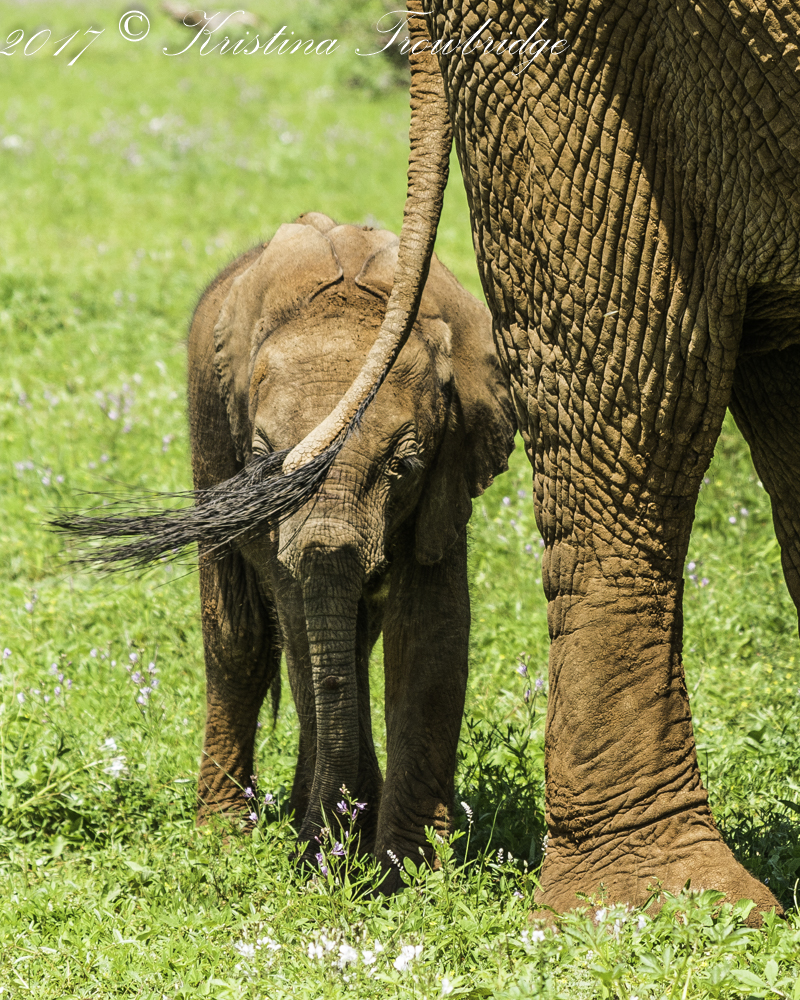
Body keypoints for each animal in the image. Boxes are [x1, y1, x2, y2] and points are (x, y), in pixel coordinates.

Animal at [56, 211, 515, 870]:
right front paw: (336, 847)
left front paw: (407, 871)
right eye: (262, 462)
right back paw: (230, 833)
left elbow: (430, 634)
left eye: (403, 467)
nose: (326, 842)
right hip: (204, 440)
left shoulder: (448, 471)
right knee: (243, 636)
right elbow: (298, 620)